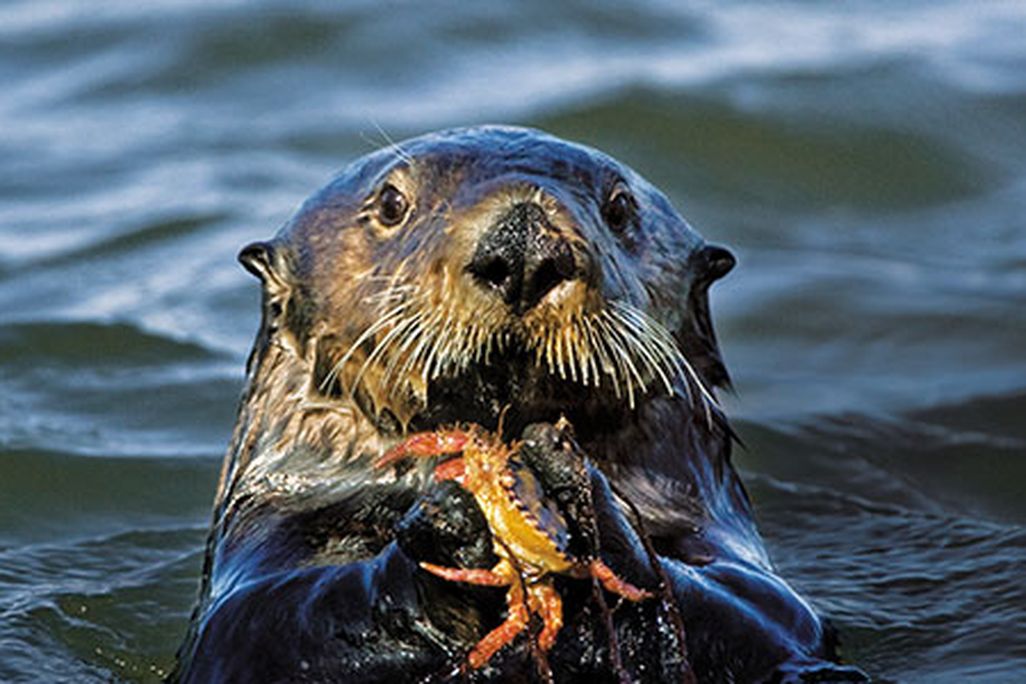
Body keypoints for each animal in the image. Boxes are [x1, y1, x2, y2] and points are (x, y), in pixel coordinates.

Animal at [172, 126, 866, 682]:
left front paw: (583, 497)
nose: (523, 246)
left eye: (620, 208)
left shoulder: (739, 570)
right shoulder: (267, 551)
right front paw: (451, 528)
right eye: (391, 203)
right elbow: (271, 622)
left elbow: (753, 612)